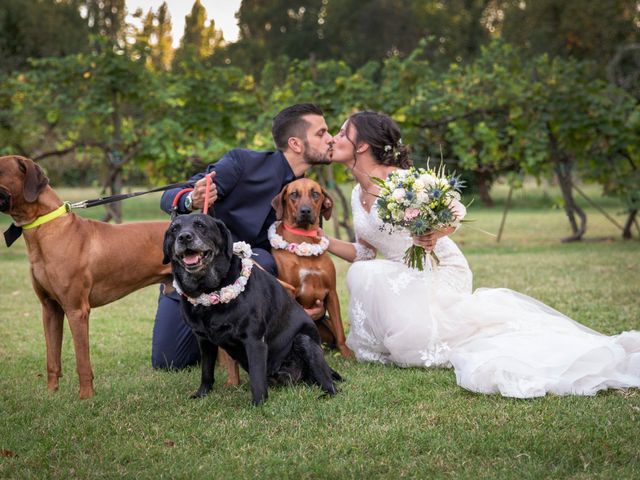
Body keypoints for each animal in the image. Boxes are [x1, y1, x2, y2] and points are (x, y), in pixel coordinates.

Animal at [0, 157, 240, 398]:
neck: (48, 227)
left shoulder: (76, 310)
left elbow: (82, 362)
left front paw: (86, 397)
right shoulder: (50, 309)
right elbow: (52, 358)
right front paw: (51, 394)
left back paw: (233, 384)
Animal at [268, 178, 352, 358]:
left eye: (315, 193)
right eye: (294, 194)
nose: (305, 211)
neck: (304, 240)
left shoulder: (331, 293)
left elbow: (340, 332)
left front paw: (348, 355)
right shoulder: (289, 291)